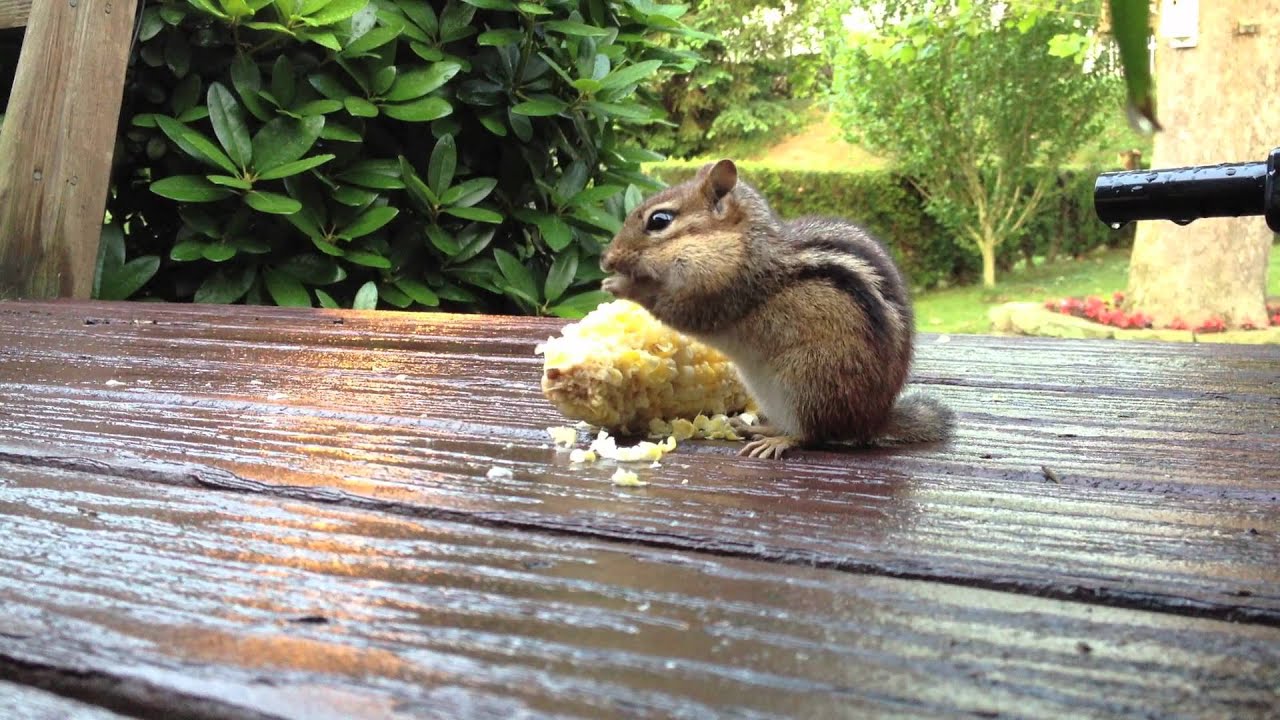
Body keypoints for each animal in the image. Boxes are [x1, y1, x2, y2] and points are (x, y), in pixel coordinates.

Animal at [600, 159, 954, 459]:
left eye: (659, 220)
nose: (606, 259)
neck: (742, 244)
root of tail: (872, 420)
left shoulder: (724, 291)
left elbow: (678, 309)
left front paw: (622, 285)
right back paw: (757, 426)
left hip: (809, 382)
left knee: (815, 434)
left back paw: (780, 440)